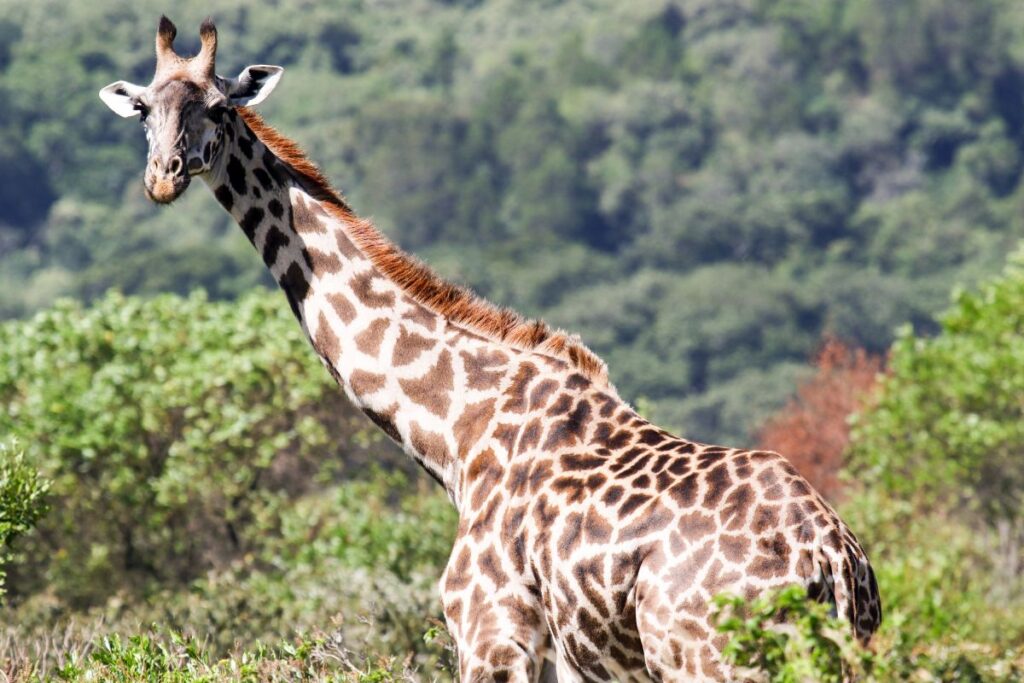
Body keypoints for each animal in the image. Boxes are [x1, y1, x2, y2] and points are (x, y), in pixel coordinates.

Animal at [99, 17, 881, 682]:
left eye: (219, 108)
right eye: (145, 110)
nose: (165, 174)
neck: (456, 431)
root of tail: (832, 562)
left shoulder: (491, 628)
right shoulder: (567, 659)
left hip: (705, 659)